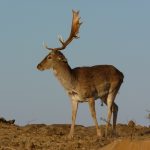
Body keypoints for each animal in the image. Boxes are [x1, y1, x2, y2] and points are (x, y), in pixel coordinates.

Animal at [37, 10, 123, 139]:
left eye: (49, 56)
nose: (38, 66)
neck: (73, 83)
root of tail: (122, 74)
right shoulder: (73, 99)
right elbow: (73, 116)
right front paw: (70, 135)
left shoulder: (91, 96)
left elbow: (93, 114)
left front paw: (98, 134)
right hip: (103, 95)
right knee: (116, 107)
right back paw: (113, 132)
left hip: (113, 88)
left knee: (110, 108)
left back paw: (106, 132)